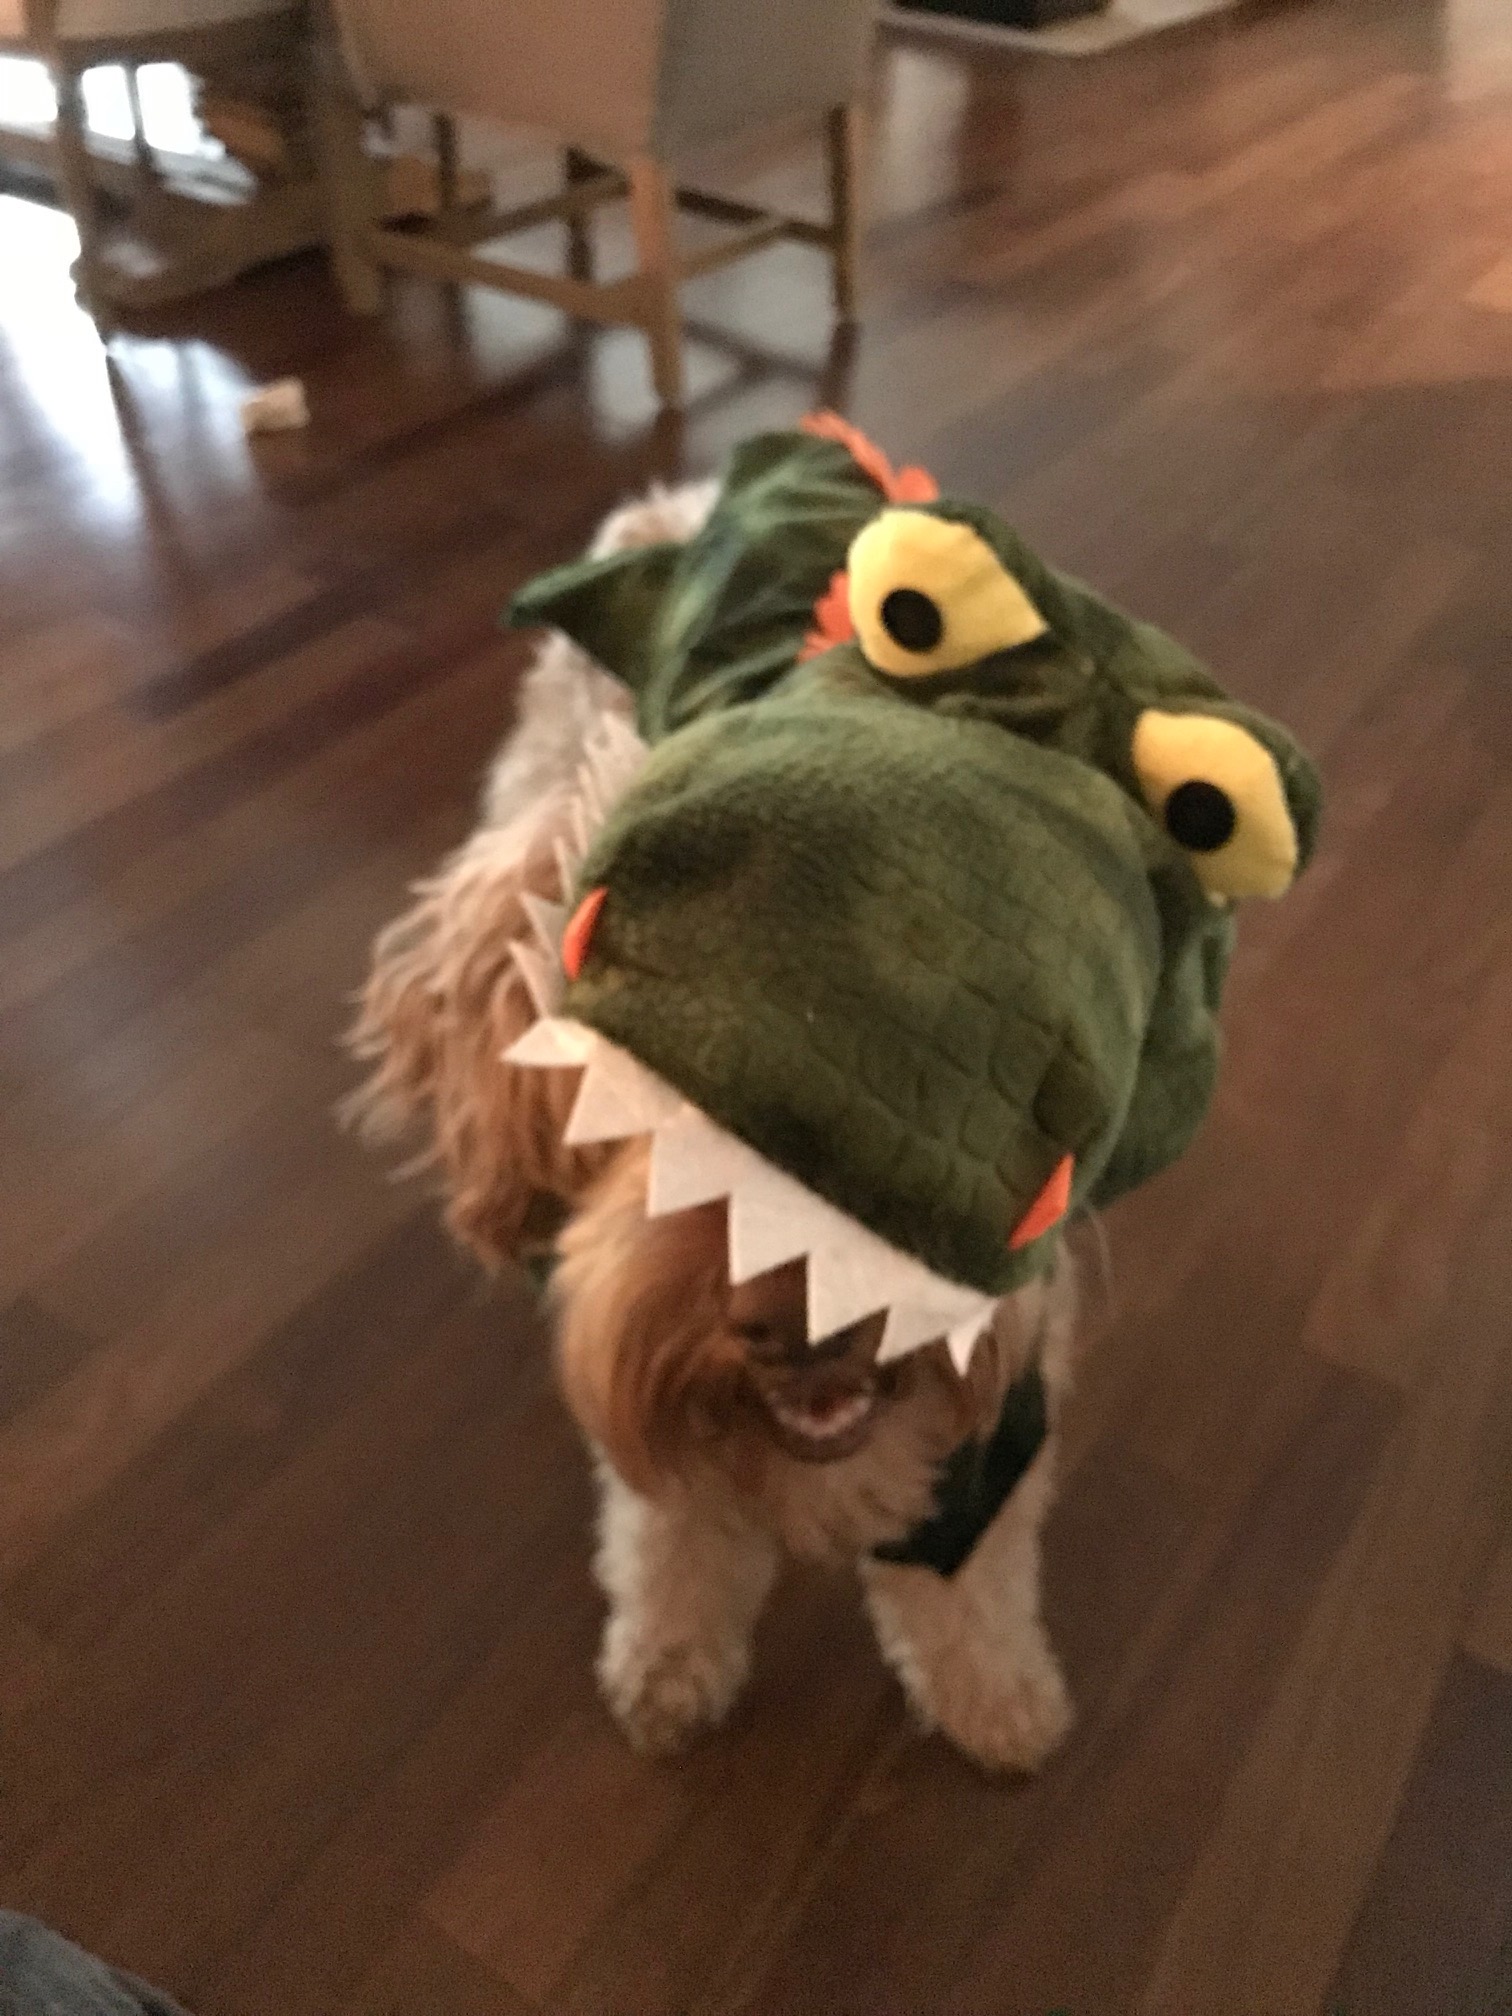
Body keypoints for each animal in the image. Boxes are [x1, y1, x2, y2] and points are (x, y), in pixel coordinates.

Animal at [352, 479, 1088, 1774]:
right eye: (616, 1085)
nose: (799, 1321)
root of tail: (675, 500)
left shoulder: (1009, 1416)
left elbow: (973, 1581)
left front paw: (998, 1697)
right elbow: (671, 1547)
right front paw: (668, 1665)